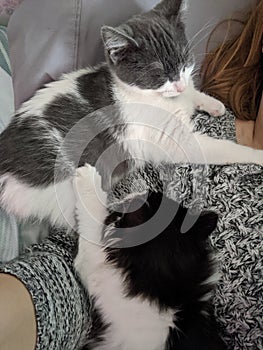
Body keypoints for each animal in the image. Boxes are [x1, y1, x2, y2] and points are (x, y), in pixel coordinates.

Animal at [0, 0, 262, 230]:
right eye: (159, 73)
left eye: (184, 61)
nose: (178, 85)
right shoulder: (170, 138)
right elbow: (220, 148)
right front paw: (256, 154)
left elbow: (192, 92)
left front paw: (212, 103)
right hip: (62, 193)